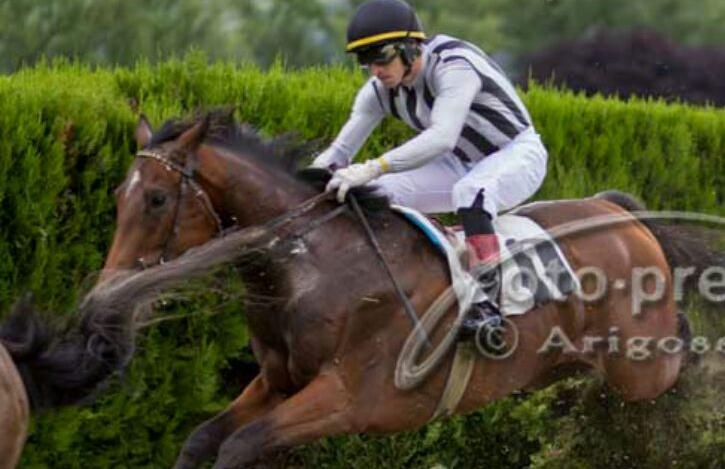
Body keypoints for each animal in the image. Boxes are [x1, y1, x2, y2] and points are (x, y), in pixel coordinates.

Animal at [103, 110, 724, 468]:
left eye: (156, 198)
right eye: (117, 195)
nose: (111, 288)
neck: (316, 265)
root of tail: (623, 215)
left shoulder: (349, 398)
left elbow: (240, 445)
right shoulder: (278, 382)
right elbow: (202, 439)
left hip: (641, 369)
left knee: (678, 352)